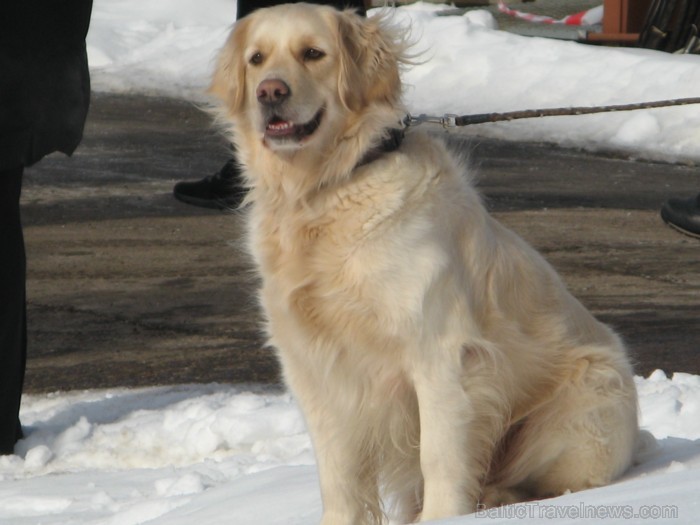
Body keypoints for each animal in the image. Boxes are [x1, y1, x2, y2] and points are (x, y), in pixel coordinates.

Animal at [208, 4, 640, 524]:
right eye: (257, 59)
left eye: (313, 53)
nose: (270, 91)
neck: (328, 188)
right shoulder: (314, 367)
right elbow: (338, 475)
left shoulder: (440, 352)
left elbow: (440, 456)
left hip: (582, 407)